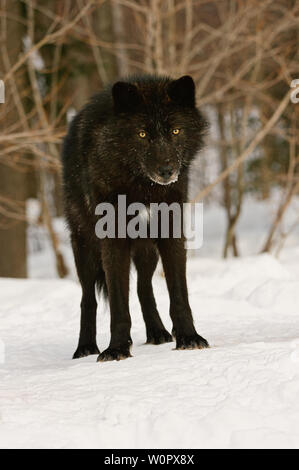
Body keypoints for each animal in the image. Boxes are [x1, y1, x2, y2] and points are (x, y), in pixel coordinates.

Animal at [62, 73, 210, 362]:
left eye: (175, 131)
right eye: (142, 134)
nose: (166, 171)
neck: (144, 188)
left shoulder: (172, 233)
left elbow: (179, 296)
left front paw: (188, 337)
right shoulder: (113, 241)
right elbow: (118, 304)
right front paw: (117, 348)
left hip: (146, 249)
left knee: (144, 287)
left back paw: (158, 332)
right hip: (85, 247)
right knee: (88, 299)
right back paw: (85, 348)